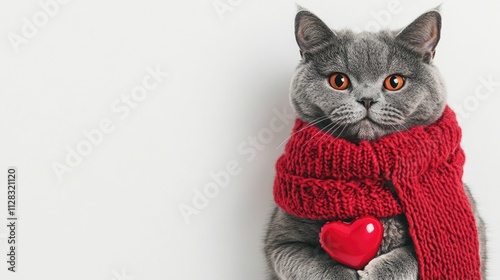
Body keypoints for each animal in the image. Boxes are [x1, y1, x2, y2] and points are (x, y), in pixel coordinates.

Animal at [264, 7, 486, 278]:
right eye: (339, 81)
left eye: (395, 82)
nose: (367, 99)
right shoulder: (280, 243)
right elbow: (313, 263)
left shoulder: (473, 230)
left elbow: (415, 254)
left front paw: (379, 271)